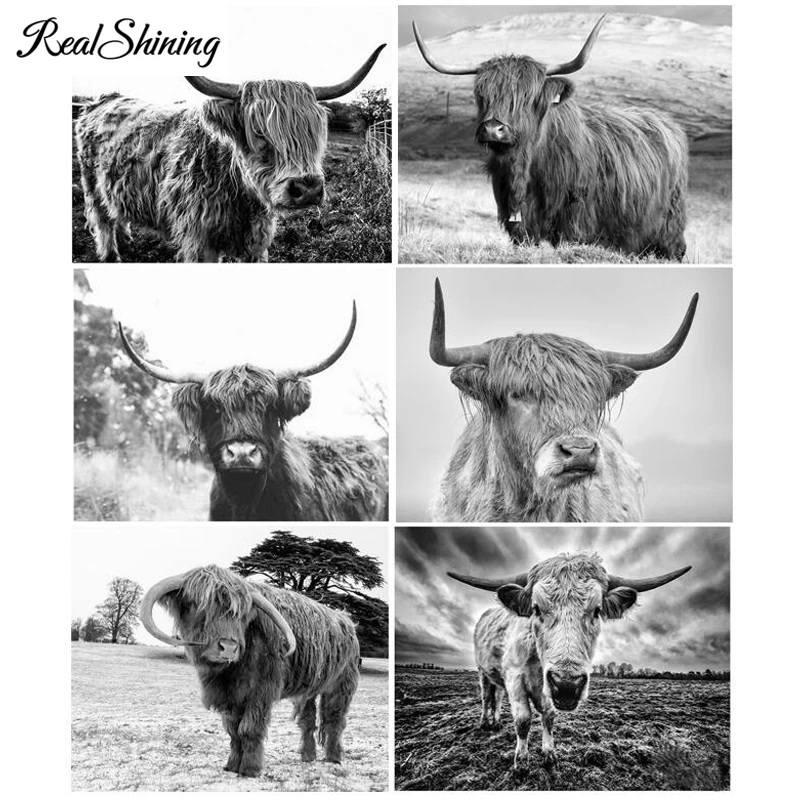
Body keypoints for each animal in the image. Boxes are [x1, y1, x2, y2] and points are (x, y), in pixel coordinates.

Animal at [75, 45, 385, 262]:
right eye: (258, 131)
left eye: (314, 131)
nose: (307, 188)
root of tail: (101, 100)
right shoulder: (199, 242)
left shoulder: (256, 243)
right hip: (90, 183)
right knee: (101, 218)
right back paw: (111, 254)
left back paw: (126, 236)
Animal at [140, 565, 360, 776]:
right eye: (198, 605)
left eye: (241, 615)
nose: (228, 647)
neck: (229, 672)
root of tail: (347, 621)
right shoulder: (231, 697)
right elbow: (234, 731)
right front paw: (231, 765)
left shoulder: (260, 693)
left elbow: (249, 729)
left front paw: (250, 769)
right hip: (308, 690)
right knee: (307, 721)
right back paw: (307, 756)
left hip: (342, 686)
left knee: (335, 720)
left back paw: (334, 757)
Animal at [412, 16, 688, 260]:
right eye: (481, 95)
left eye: (527, 97)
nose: (492, 129)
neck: (525, 167)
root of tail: (668, 122)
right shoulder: (517, 221)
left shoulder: (576, 220)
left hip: (669, 226)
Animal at [448, 552, 691, 771]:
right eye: (536, 608)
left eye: (597, 610)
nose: (567, 684)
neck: (537, 664)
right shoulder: (515, 679)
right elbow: (523, 721)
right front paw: (521, 761)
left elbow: (548, 716)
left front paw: (549, 754)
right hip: (482, 671)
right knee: (486, 697)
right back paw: (484, 722)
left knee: (496, 697)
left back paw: (496, 720)